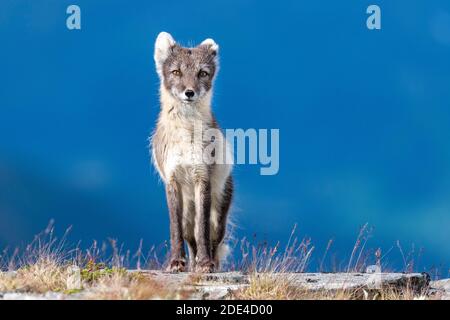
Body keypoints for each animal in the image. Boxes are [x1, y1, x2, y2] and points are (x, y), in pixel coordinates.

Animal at [152, 31, 234, 272]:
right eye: (176, 72)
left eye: (202, 73)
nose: (189, 92)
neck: (186, 133)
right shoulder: (172, 179)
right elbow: (175, 229)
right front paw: (176, 262)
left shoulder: (202, 177)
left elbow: (203, 228)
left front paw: (205, 264)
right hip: (187, 214)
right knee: (190, 237)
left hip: (219, 214)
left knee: (212, 238)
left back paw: (209, 262)